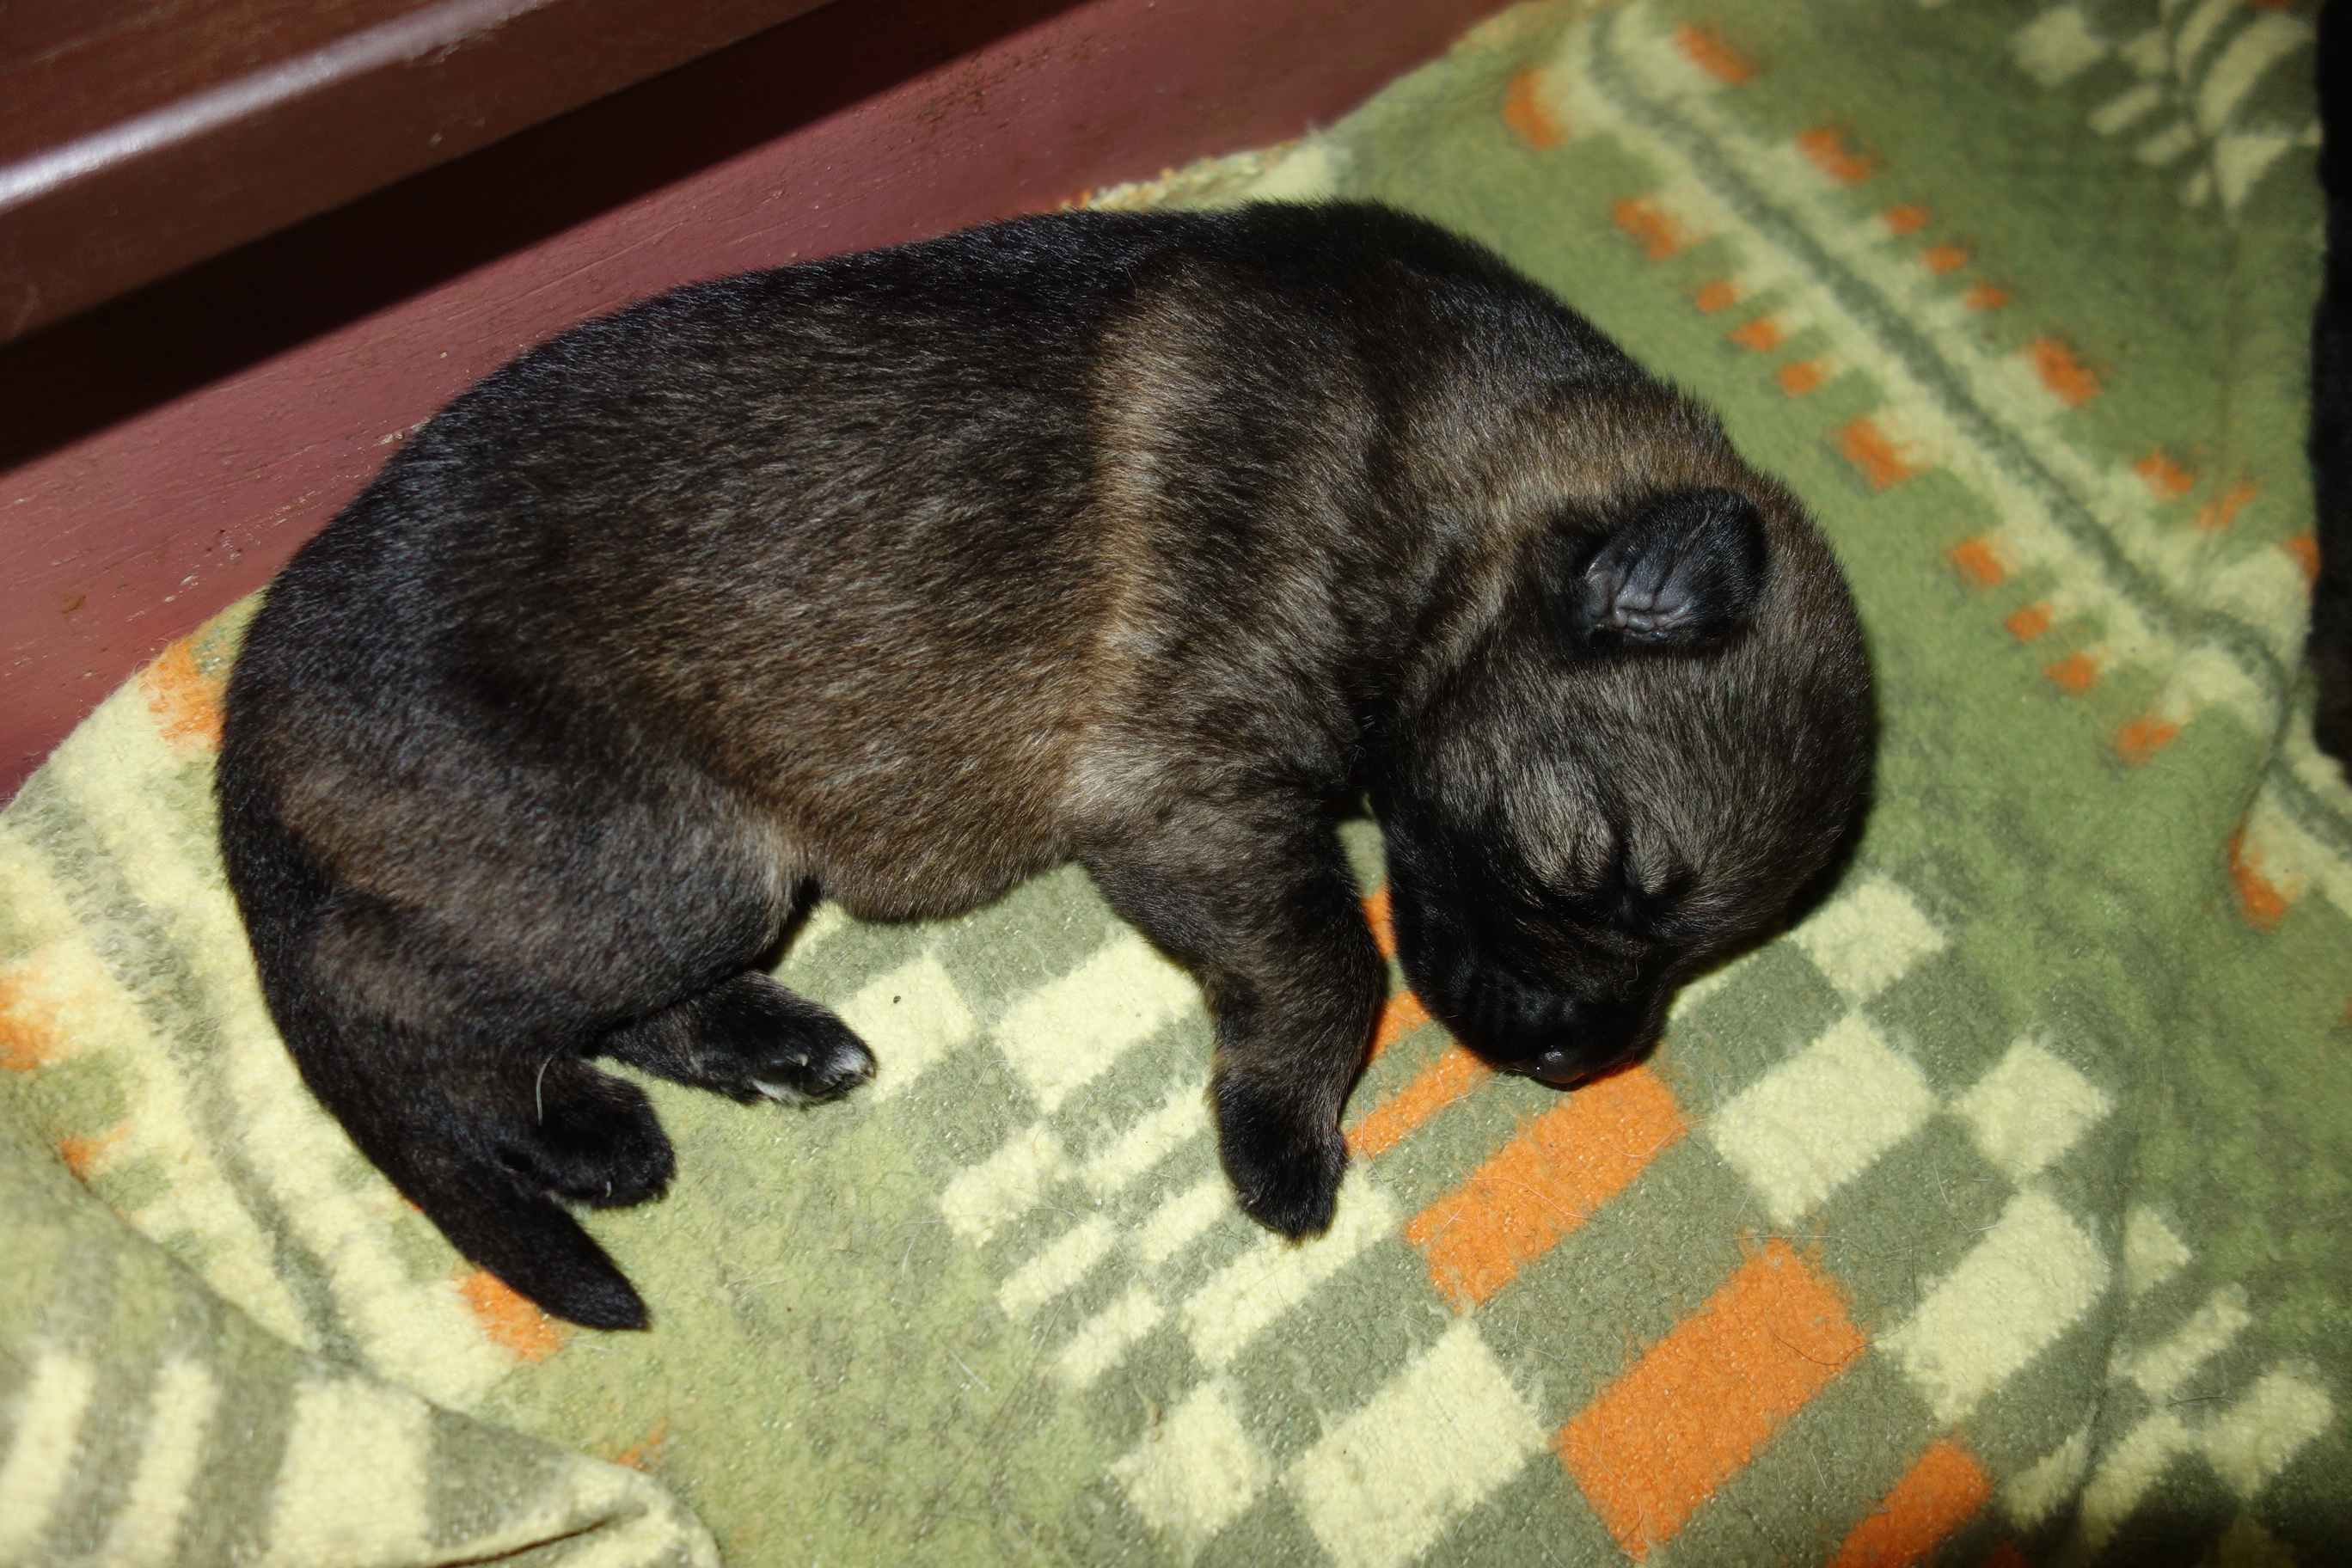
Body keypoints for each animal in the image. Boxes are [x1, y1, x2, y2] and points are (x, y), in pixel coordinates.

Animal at [217, 202, 1874, 1330]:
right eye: (1596, 871)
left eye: (1699, 949)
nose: (1569, 1060)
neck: (1458, 497)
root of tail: (255, 699)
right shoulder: (1187, 789)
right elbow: (1334, 961)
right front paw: (1282, 1131)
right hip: (668, 857)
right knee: (402, 1002)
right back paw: (571, 1128)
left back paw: (765, 1043)